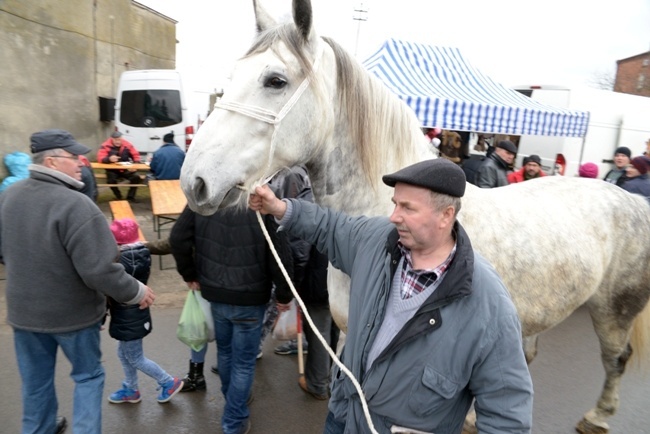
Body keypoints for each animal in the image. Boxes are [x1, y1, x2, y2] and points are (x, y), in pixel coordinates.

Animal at [180, 1, 648, 432]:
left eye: (275, 80)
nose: (194, 181)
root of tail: (631, 201)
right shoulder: (350, 335)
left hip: (613, 312)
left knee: (615, 358)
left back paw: (598, 416)